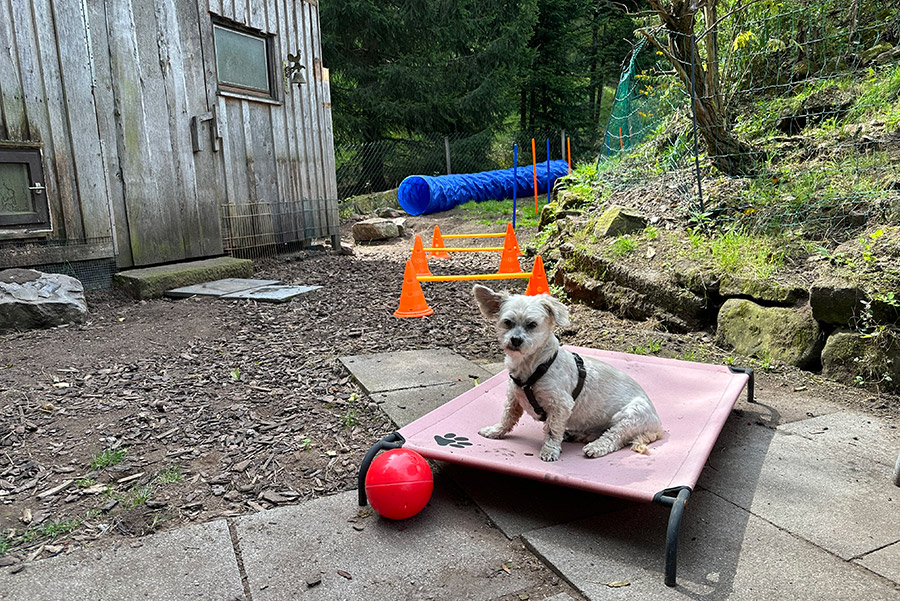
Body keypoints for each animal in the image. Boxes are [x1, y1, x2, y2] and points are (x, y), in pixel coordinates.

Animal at [474, 284, 664, 462]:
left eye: (532, 324)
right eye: (507, 322)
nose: (515, 340)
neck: (535, 365)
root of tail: (658, 426)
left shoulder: (560, 405)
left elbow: (552, 430)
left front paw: (549, 451)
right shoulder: (514, 397)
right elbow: (507, 417)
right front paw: (496, 431)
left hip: (630, 417)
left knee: (614, 437)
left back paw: (596, 447)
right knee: (596, 432)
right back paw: (574, 434)